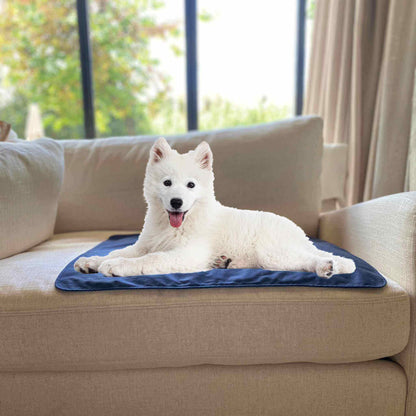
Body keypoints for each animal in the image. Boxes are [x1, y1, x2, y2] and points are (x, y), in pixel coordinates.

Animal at [74, 138, 354, 278]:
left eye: (190, 185)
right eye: (167, 183)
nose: (176, 202)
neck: (177, 224)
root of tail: (301, 233)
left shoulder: (187, 253)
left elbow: (151, 259)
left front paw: (116, 266)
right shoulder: (144, 244)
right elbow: (121, 251)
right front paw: (92, 261)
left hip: (273, 253)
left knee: (313, 261)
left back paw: (325, 267)